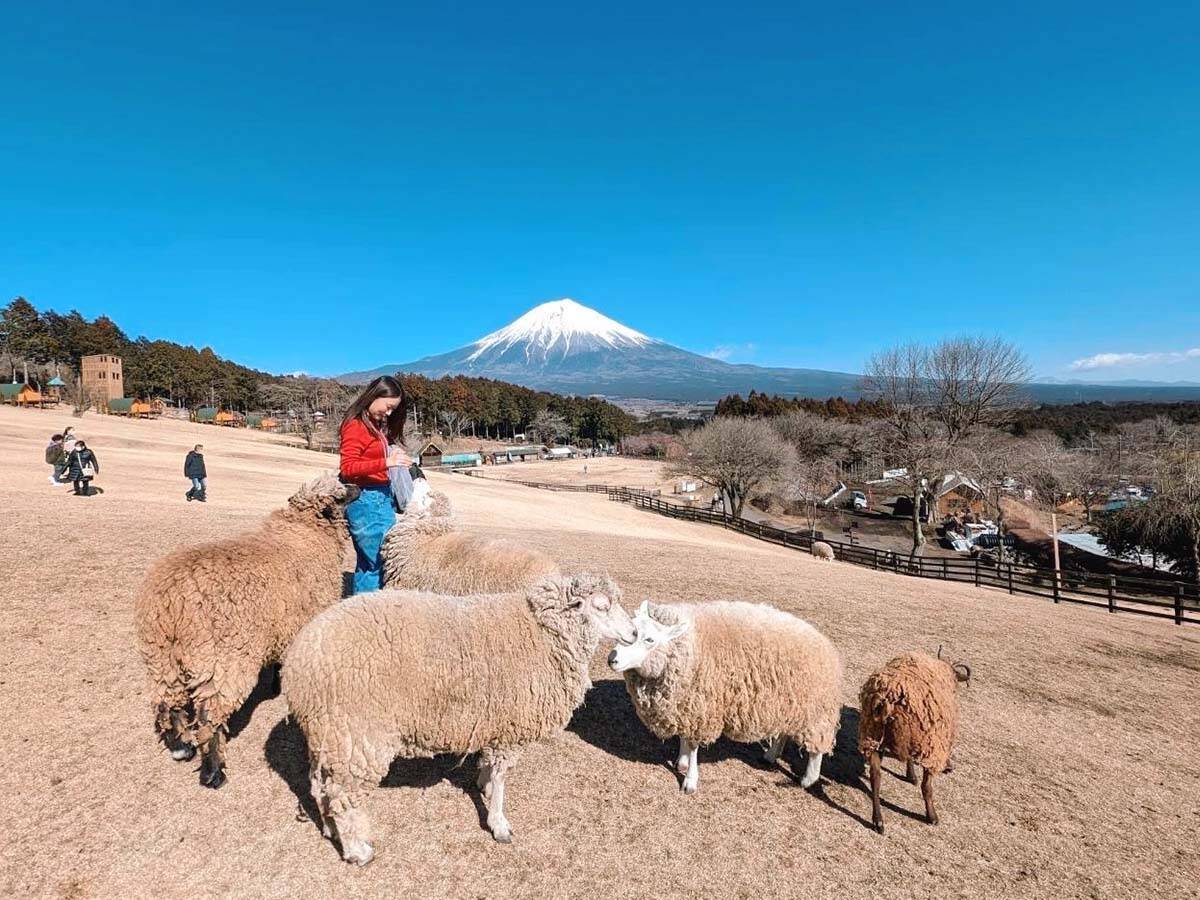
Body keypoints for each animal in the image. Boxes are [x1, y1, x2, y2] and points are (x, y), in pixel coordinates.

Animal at [135, 475, 360, 792]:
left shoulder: (282, 624)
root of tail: (173, 601)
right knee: (209, 716)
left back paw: (180, 747)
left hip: (160, 655)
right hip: (224, 659)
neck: (306, 530)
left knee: (166, 702)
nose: (360, 488)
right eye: (340, 495)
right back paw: (213, 772)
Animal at [282, 573, 638, 864]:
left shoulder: (494, 724)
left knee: (319, 787)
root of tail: (297, 662)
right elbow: (501, 777)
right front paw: (499, 823)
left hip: (329, 737)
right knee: (342, 796)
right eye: (602, 607)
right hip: (358, 736)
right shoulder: (510, 729)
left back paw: (330, 829)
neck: (544, 635)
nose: (634, 633)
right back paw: (357, 850)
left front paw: (483, 786)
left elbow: (489, 769)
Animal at [609, 600, 844, 796]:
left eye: (649, 639)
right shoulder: (688, 705)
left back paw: (808, 779)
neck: (691, 646)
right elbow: (684, 737)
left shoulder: (702, 708)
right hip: (788, 704)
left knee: (816, 748)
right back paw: (770, 756)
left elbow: (693, 747)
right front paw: (681, 761)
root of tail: (826, 644)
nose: (612, 658)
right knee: (784, 732)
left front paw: (690, 780)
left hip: (815, 711)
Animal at [859, 652, 969, 835]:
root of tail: (887, 699)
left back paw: (878, 821)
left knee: (876, 777)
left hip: (872, 736)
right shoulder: (933, 743)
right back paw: (932, 816)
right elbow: (926, 785)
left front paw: (911, 775)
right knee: (927, 787)